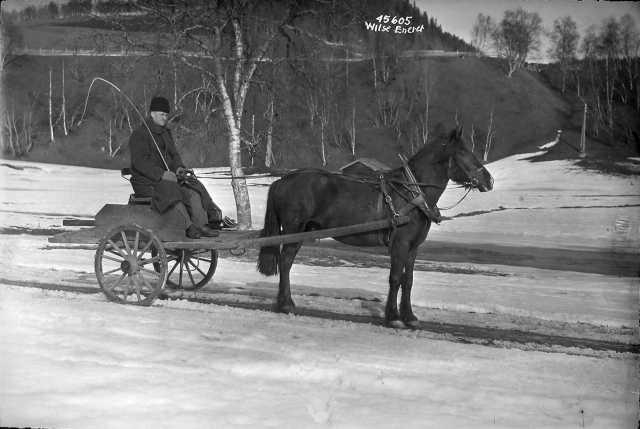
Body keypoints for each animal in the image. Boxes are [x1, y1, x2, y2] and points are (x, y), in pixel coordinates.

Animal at [258, 127, 492, 328]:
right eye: (463, 152)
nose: (489, 180)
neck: (412, 193)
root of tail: (282, 180)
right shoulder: (400, 244)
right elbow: (395, 278)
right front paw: (393, 317)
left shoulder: (413, 247)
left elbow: (408, 280)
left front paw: (409, 316)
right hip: (293, 230)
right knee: (285, 262)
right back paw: (286, 304)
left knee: (287, 261)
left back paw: (286, 302)